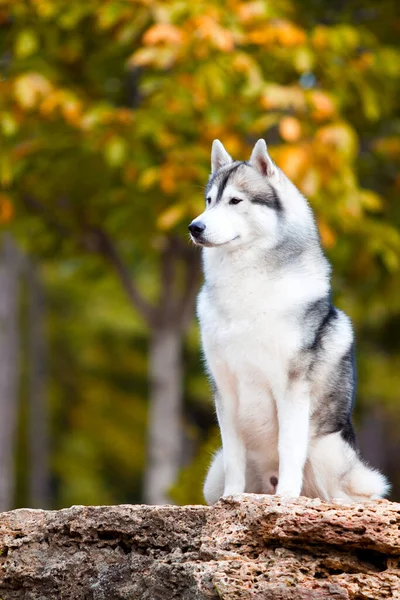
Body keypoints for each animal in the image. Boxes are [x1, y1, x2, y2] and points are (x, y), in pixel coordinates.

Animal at [189, 139, 390, 502]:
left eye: (235, 201)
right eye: (209, 201)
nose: (194, 227)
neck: (246, 286)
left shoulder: (291, 387)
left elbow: (289, 447)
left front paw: (285, 497)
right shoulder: (224, 390)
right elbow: (236, 455)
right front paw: (232, 499)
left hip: (328, 449)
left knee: (343, 493)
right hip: (212, 474)